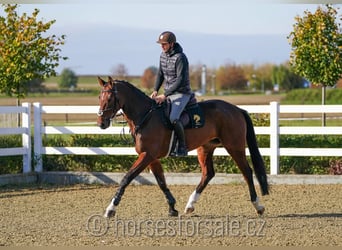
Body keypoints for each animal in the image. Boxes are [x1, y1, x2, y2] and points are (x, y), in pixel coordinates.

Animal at [97, 77, 270, 218]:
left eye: (110, 98)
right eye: (99, 97)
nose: (101, 123)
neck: (146, 116)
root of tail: (236, 109)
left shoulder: (147, 155)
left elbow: (127, 178)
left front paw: (111, 208)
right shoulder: (151, 158)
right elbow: (161, 181)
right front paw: (172, 207)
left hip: (234, 147)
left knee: (247, 172)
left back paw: (258, 206)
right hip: (205, 148)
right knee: (208, 173)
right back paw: (190, 204)